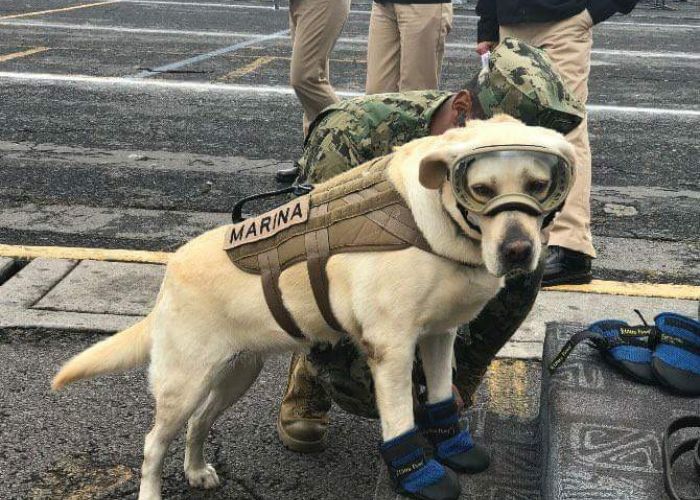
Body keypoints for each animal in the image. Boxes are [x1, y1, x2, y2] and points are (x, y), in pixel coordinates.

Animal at [50, 116, 576, 500]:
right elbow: (401, 420)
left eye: (539, 184)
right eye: (481, 190)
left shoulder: (438, 337)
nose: (518, 251)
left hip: (236, 374)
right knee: (152, 444)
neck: (436, 222)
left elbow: (442, 398)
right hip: (184, 383)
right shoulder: (390, 349)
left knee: (199, 424)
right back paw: (153, 490)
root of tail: (170, 275)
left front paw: (453, 446)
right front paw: (419, 474)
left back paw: (198, 471)